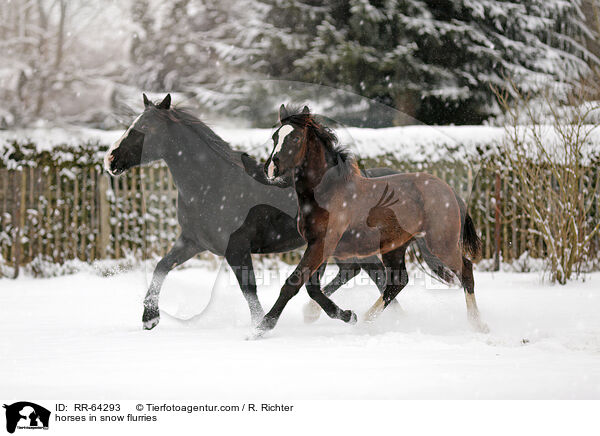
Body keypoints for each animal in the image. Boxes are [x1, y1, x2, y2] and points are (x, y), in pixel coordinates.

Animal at [104, 94, 394, 328]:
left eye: (143, 128)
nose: (110, 159)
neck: (211, 183)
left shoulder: (237, 247)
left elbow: (249, 289)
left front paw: (260, 325)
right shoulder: (192, 241)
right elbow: (161, 267)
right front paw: (149, 318)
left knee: (375, 275)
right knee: (361, 273)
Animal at [248, 104, 488, 338]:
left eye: (296, 138)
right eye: (275, 137)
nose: (270, 169)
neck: (327, 193)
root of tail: (450, 190)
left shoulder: (322, 244)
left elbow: (294, 283)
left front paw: (261, 327)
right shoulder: (317, 244)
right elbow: (313, 287)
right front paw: (346, 315)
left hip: (441, 243)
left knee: (466, 271)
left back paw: (478, 325)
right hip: (395, 247)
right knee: (398, 281)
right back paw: (364, 322)